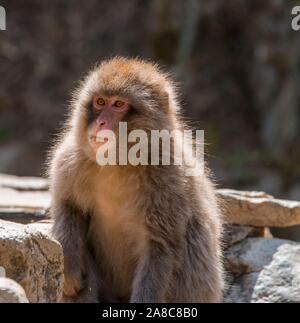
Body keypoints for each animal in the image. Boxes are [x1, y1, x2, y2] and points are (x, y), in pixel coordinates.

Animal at [48, 56, 224, 304]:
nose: (100, 123)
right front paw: (70, 270)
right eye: (100, 102)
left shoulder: (170, 178)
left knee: (194, 235)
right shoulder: (70, 159)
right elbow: (69, 208)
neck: (119, 163)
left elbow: (161, 246)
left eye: (118, 105)